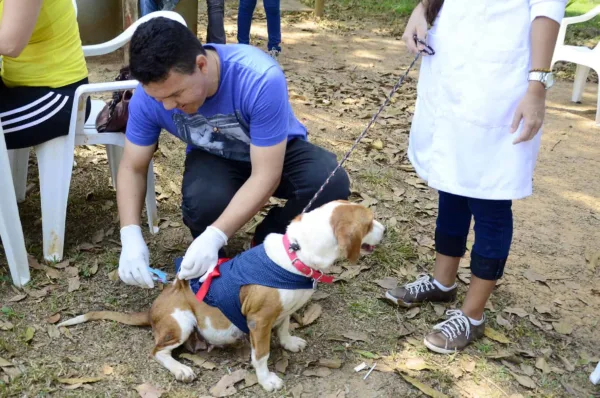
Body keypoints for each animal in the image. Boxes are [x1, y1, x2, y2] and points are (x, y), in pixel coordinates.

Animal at [57, 202, 384, 392]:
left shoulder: (282, 313)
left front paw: (289, 342)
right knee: (157, 352)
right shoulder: (259, 322)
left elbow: (284, 325)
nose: (385, 229)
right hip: (182, 322)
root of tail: (154, 308)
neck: (297, 255)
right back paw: (181, 369)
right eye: (370, 223)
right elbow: (262, 355)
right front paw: (266, 380)